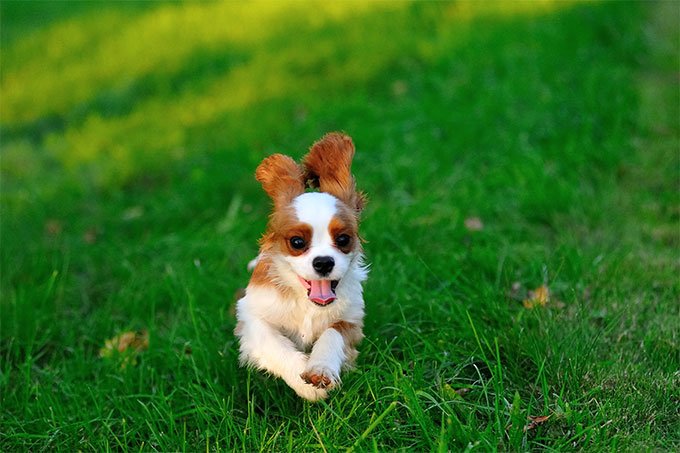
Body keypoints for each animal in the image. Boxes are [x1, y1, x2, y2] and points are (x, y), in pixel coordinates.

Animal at [235, 132, 370, 400]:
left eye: (343, 240)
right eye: (297, 242)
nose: (324, 262)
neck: (307, 303)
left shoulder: (351, 320)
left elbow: (332, 334)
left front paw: (320, 369)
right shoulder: (252, 316)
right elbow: (274, 344)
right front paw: (303, 383)